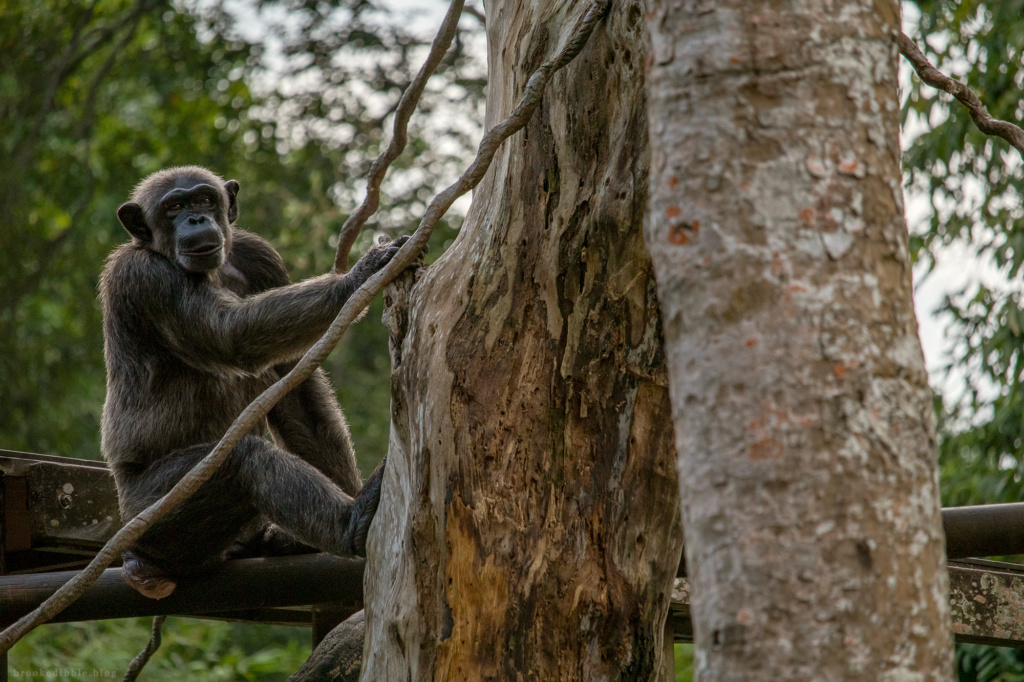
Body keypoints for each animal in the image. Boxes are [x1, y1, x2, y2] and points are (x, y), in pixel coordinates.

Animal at [98, 166, 403, 598]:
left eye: (205, 200)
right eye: (173, 207)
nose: (196, 219)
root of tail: (141, 566)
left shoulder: (259, 257)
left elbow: (296, 387)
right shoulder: (144, 276)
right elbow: (229, 333)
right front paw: (364, 270)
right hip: (153, 516)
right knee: (245, 461)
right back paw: (352, 524)